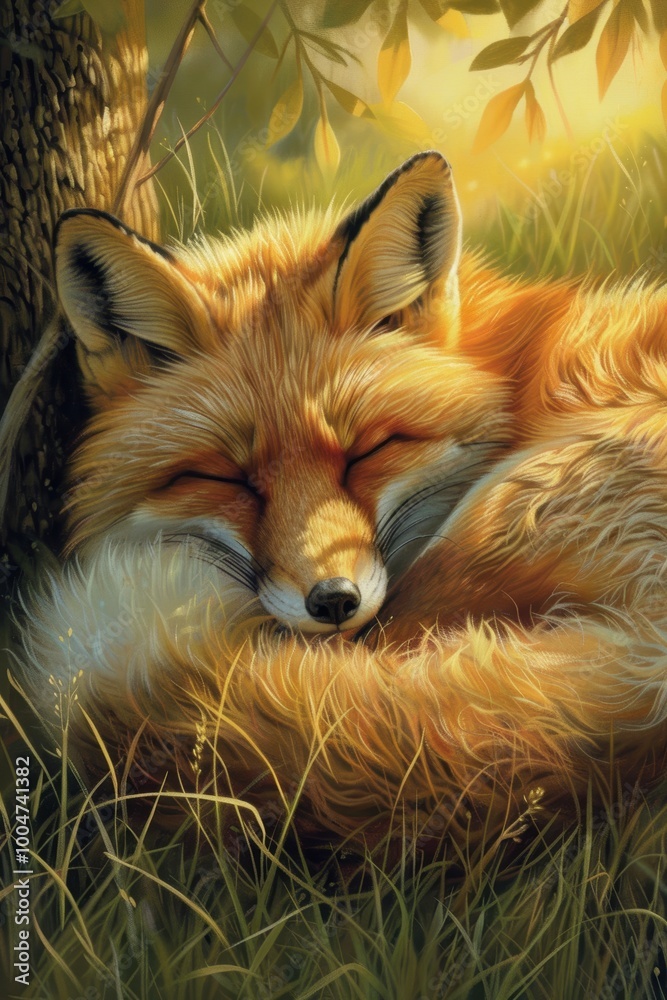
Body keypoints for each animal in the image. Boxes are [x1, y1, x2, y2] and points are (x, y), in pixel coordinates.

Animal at [17, 151, 667, 852]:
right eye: (228, 479)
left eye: (367, 451)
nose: (333, 602)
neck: (515, 370)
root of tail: (645, 691)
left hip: (487, 525)